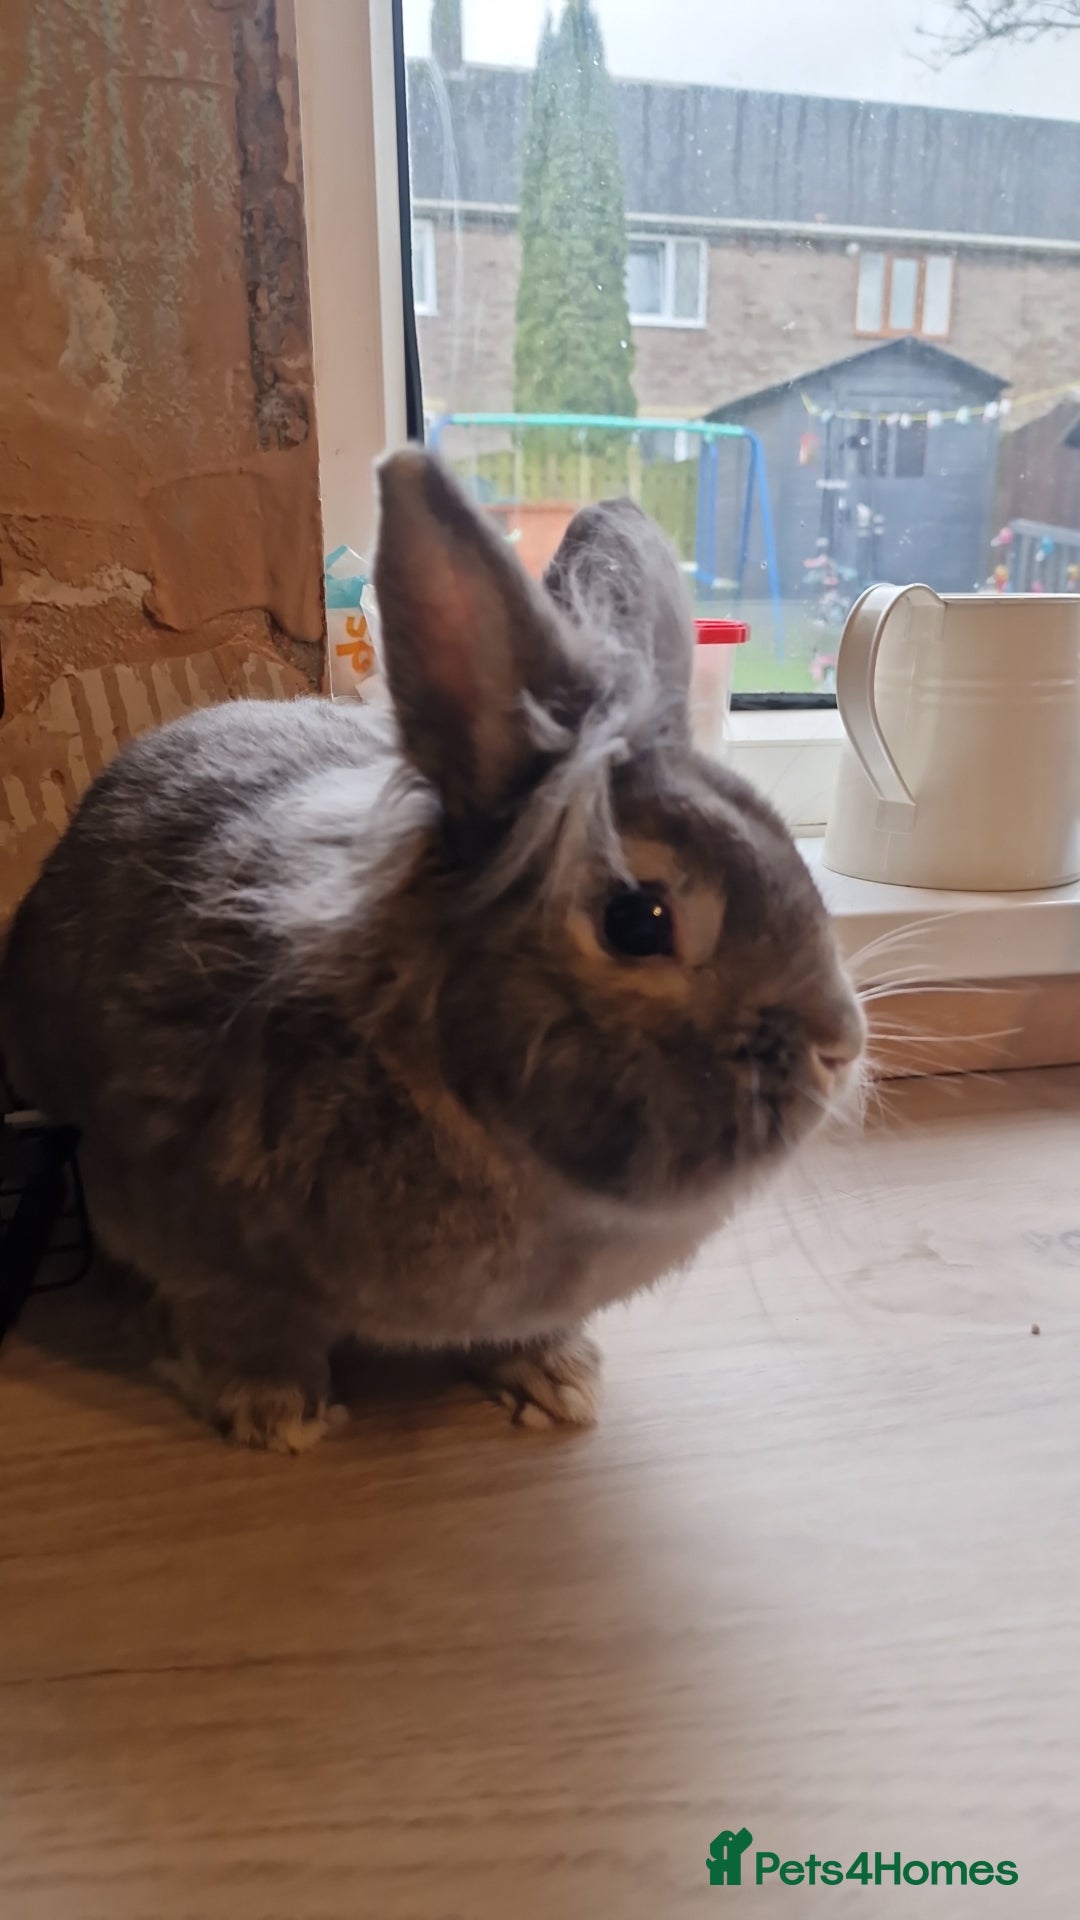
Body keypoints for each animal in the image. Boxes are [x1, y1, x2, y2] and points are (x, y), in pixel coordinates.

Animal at [0, 450, 865, 1451]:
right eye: (639, 922)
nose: (841, 1046)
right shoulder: (191, 1241)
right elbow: (239, 1325)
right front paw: (277, 1413)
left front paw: (556, 1384)